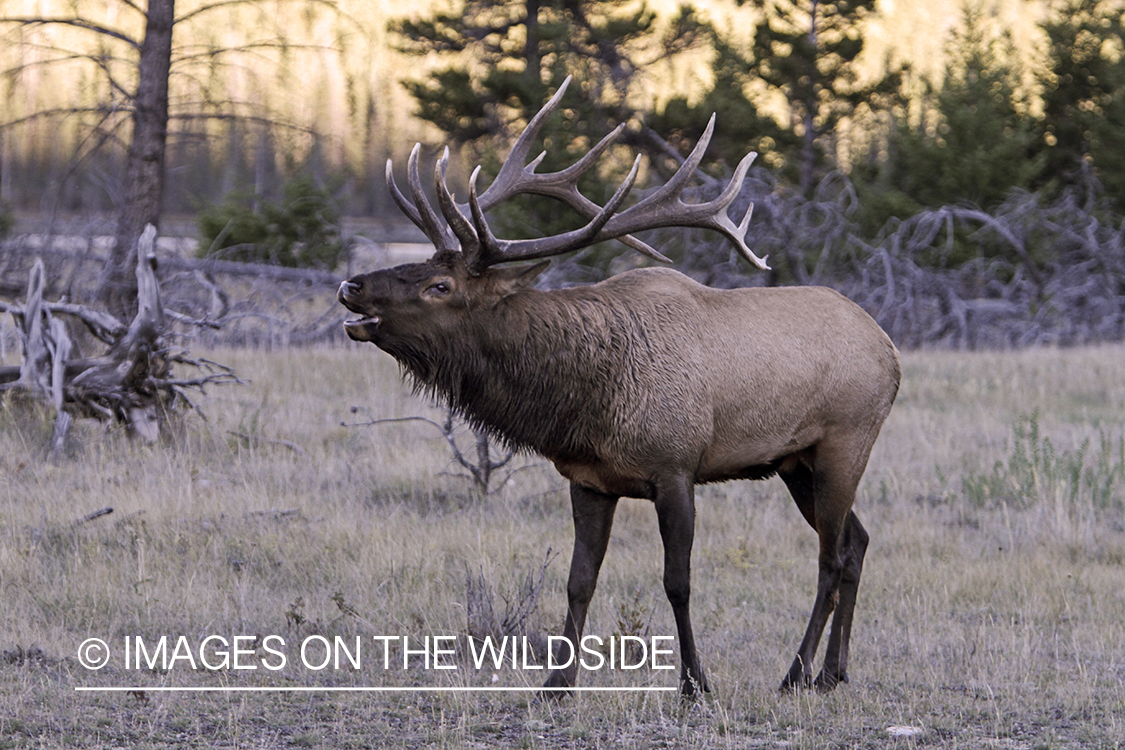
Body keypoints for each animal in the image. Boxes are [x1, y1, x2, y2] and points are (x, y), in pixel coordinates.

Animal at [338, 77, 900, 696]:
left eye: (440, 285)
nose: (352, 284)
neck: (590, 401)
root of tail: (891, 350)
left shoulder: (676, 467)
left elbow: (677, 582)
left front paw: (694, 683)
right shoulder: (589, 480)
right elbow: (578, 581)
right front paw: (557, 683)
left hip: (845, 441)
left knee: (831, 557)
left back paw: (796, 673)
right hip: (794, 461)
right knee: (856, 542)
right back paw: (833, 672)